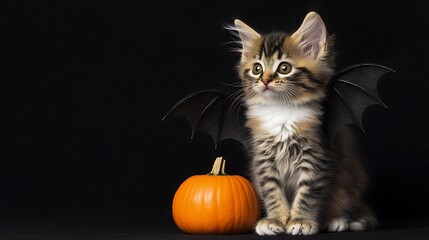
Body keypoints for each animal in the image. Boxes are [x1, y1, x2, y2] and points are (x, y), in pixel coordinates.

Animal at [232, 12, 376, 235]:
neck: (281, 110)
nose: (265, 80)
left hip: (346, 186)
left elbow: (307, 193)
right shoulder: (264, 160)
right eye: (257, 69)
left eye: (284, 68)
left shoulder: (317, 156)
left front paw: (301, 221)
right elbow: (272, 191)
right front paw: (274, 220)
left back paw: (336, 220)